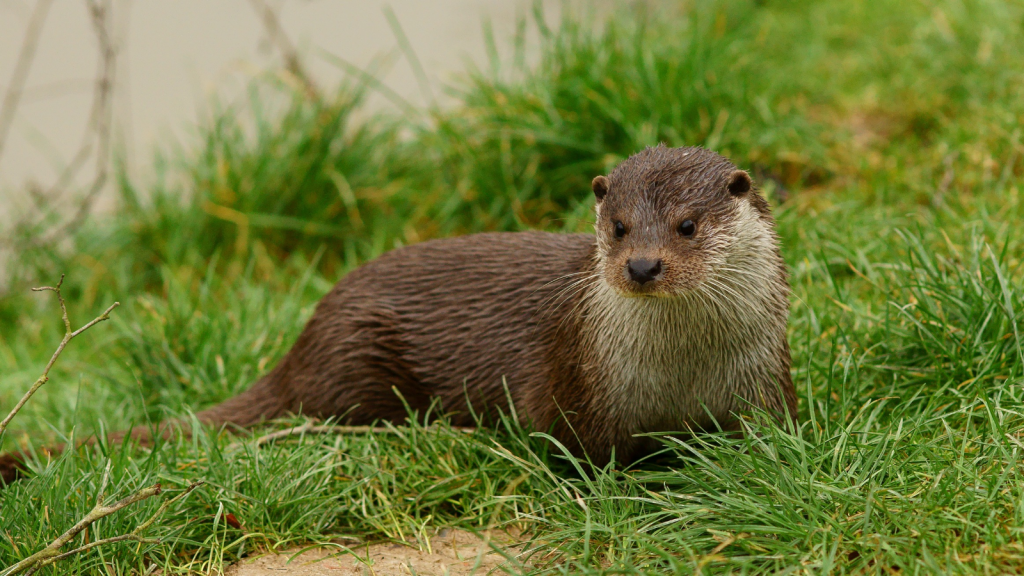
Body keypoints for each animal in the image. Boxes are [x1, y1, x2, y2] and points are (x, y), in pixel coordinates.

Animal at [0, 144, 794, 479]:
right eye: (621, 226)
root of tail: (302, 342)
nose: (641, 266)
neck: (676, 379)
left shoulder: (765, 382)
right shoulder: (574, 390)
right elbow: (577, 454)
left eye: (686, 225)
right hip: (356, 359)